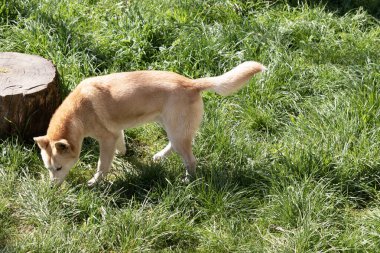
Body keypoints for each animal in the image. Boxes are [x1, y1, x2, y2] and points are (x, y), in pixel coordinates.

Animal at [34, 61, 266, 186]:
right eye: (48, 168)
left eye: (59, 167)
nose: (52, 188)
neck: (79, 112)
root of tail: (192, 83)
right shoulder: (115, 132)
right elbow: (121, 144)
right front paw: (123, 154)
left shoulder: (106, 139)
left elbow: (102, 165)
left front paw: (95, 182)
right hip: (171, 127)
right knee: (175, 145)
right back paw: (160, 157)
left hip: (176, 131)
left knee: (191, 160)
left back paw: (187, 181)